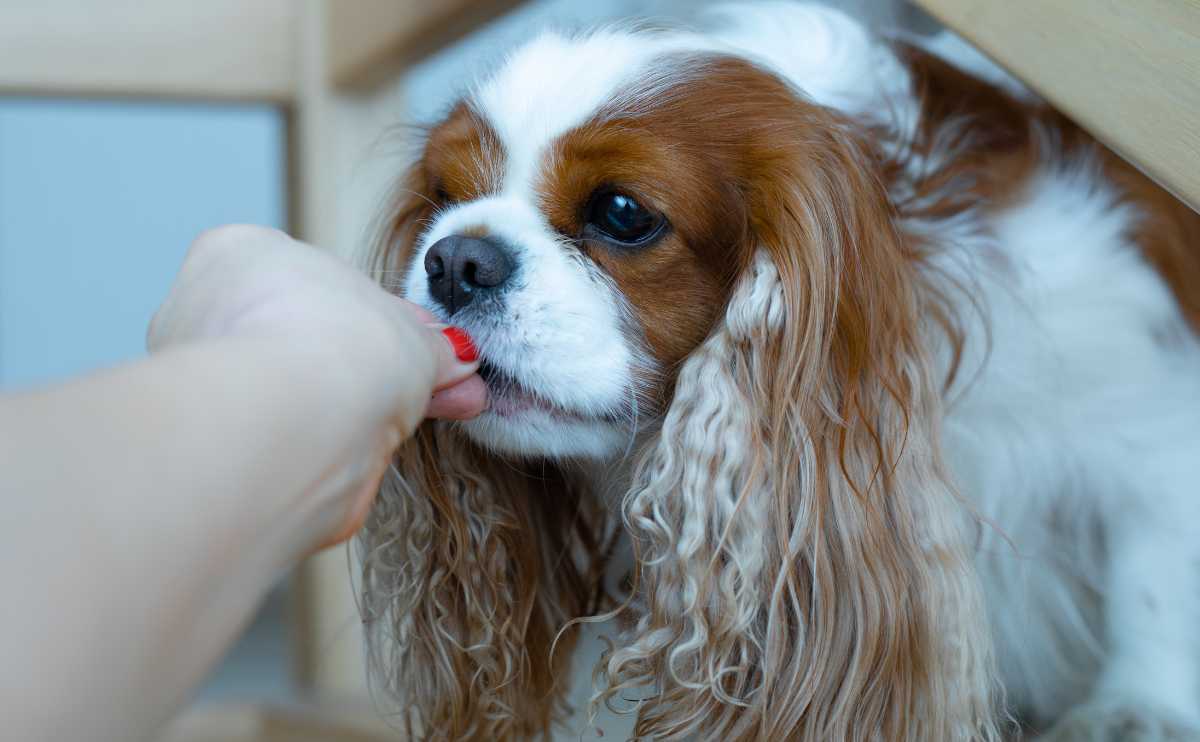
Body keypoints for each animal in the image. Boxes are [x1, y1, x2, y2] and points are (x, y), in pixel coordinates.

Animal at [352, 2, 1200, 734]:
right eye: (443, 196)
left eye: (622, 213)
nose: (456, 261)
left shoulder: (1151, 418)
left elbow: (1153, 574)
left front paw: (1139, 710)